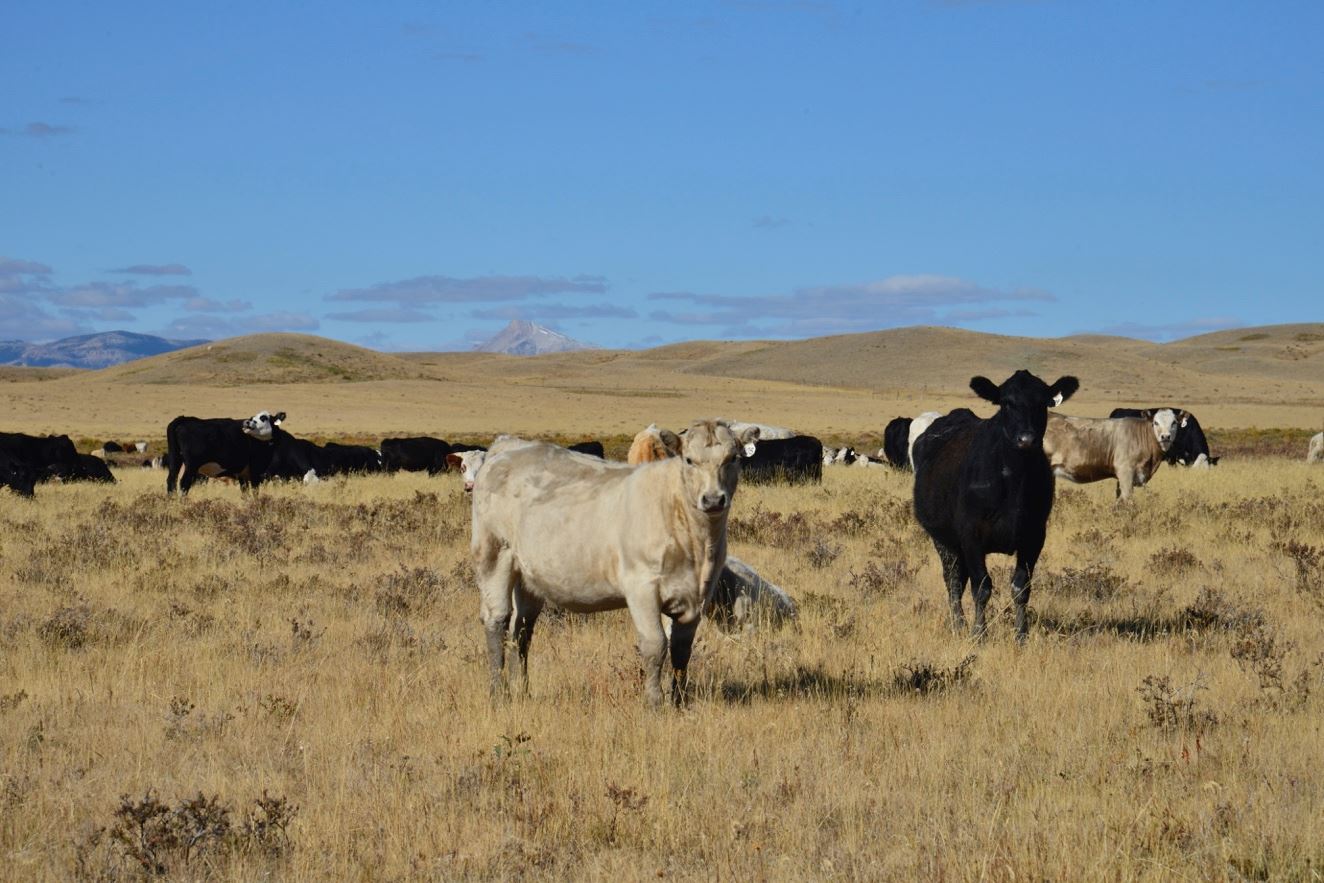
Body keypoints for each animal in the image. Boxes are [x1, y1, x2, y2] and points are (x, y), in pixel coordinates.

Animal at [470, 420, 758, 706]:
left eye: (732, 458)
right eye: (689, 460)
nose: (713, 499)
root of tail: (509, 446)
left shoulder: (699, 594)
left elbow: (682, 650)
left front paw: (679, 701)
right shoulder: (641, 587)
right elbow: (655, 645)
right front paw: (654, 702)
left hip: (528, 577)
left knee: (521, 630)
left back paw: (523, 691)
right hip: (494, 555)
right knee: (496, 620)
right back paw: (499, 693)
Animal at [913, 370, 1079, 640]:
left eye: (1042, 402)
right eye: (1006, 402)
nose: (1026, 439)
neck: (1013, 479)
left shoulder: (1034, 535)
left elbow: (1021, 587)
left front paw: (1021, 635)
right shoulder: (971, 534)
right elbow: (982, 587)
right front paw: (979, 634)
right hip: (944, 539)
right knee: (953, 581)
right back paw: (959, 625)